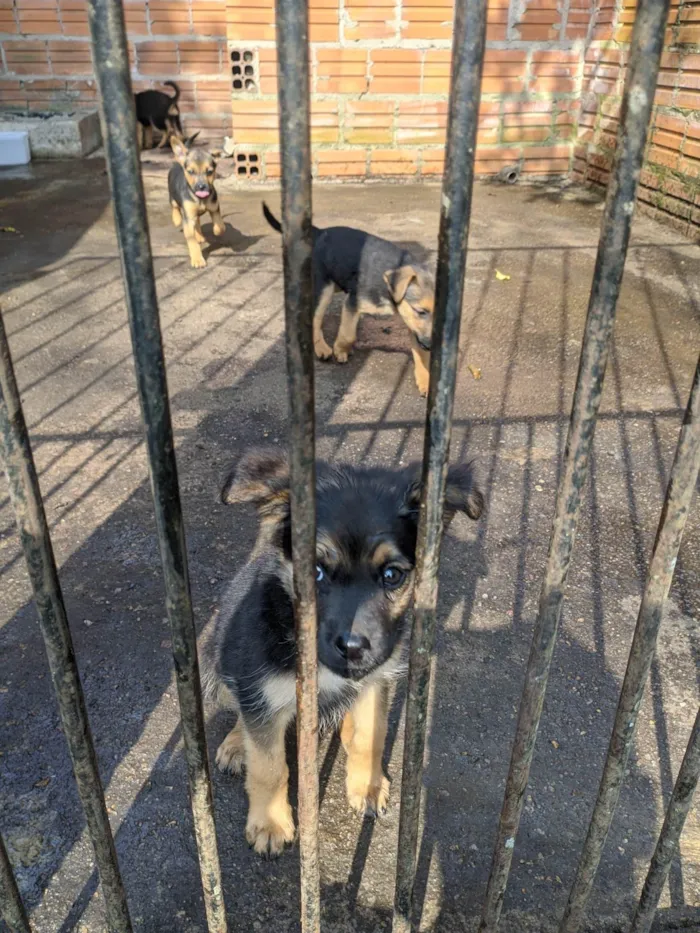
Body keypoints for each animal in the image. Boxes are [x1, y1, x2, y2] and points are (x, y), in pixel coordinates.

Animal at [169, 138, 226, 270]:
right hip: (173, 197)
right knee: (174, 206)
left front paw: (217, 230)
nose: (201, 187)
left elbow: (220, 225)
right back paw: (176, 219)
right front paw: (197, 259)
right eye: (191, 172)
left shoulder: (214, 208)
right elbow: (192, 242)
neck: (200, 199)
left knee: (198, 222)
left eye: (209, 172)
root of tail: (178, 163)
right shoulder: (188, 218)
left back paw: (199, 235)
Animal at [205, 448, 484, 856]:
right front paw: (270, 822)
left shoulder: (375, 679)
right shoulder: (260, 686)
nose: (353, 649)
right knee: (244, 713)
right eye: (316, 572)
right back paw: (237, 744)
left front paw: (366, 785)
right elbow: (269, 767)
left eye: (392, 575)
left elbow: (372, 734)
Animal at [262, 202, 438, 396]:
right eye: (420, 311)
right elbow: (348, 333)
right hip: (324, 288)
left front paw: (426, 379)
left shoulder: (412, 324)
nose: (431, 346)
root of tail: (320, 232)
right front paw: (340, 349)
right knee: (315, 319)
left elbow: (420, 352)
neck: (389, 287)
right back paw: (321, 348)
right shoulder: (354, 302)